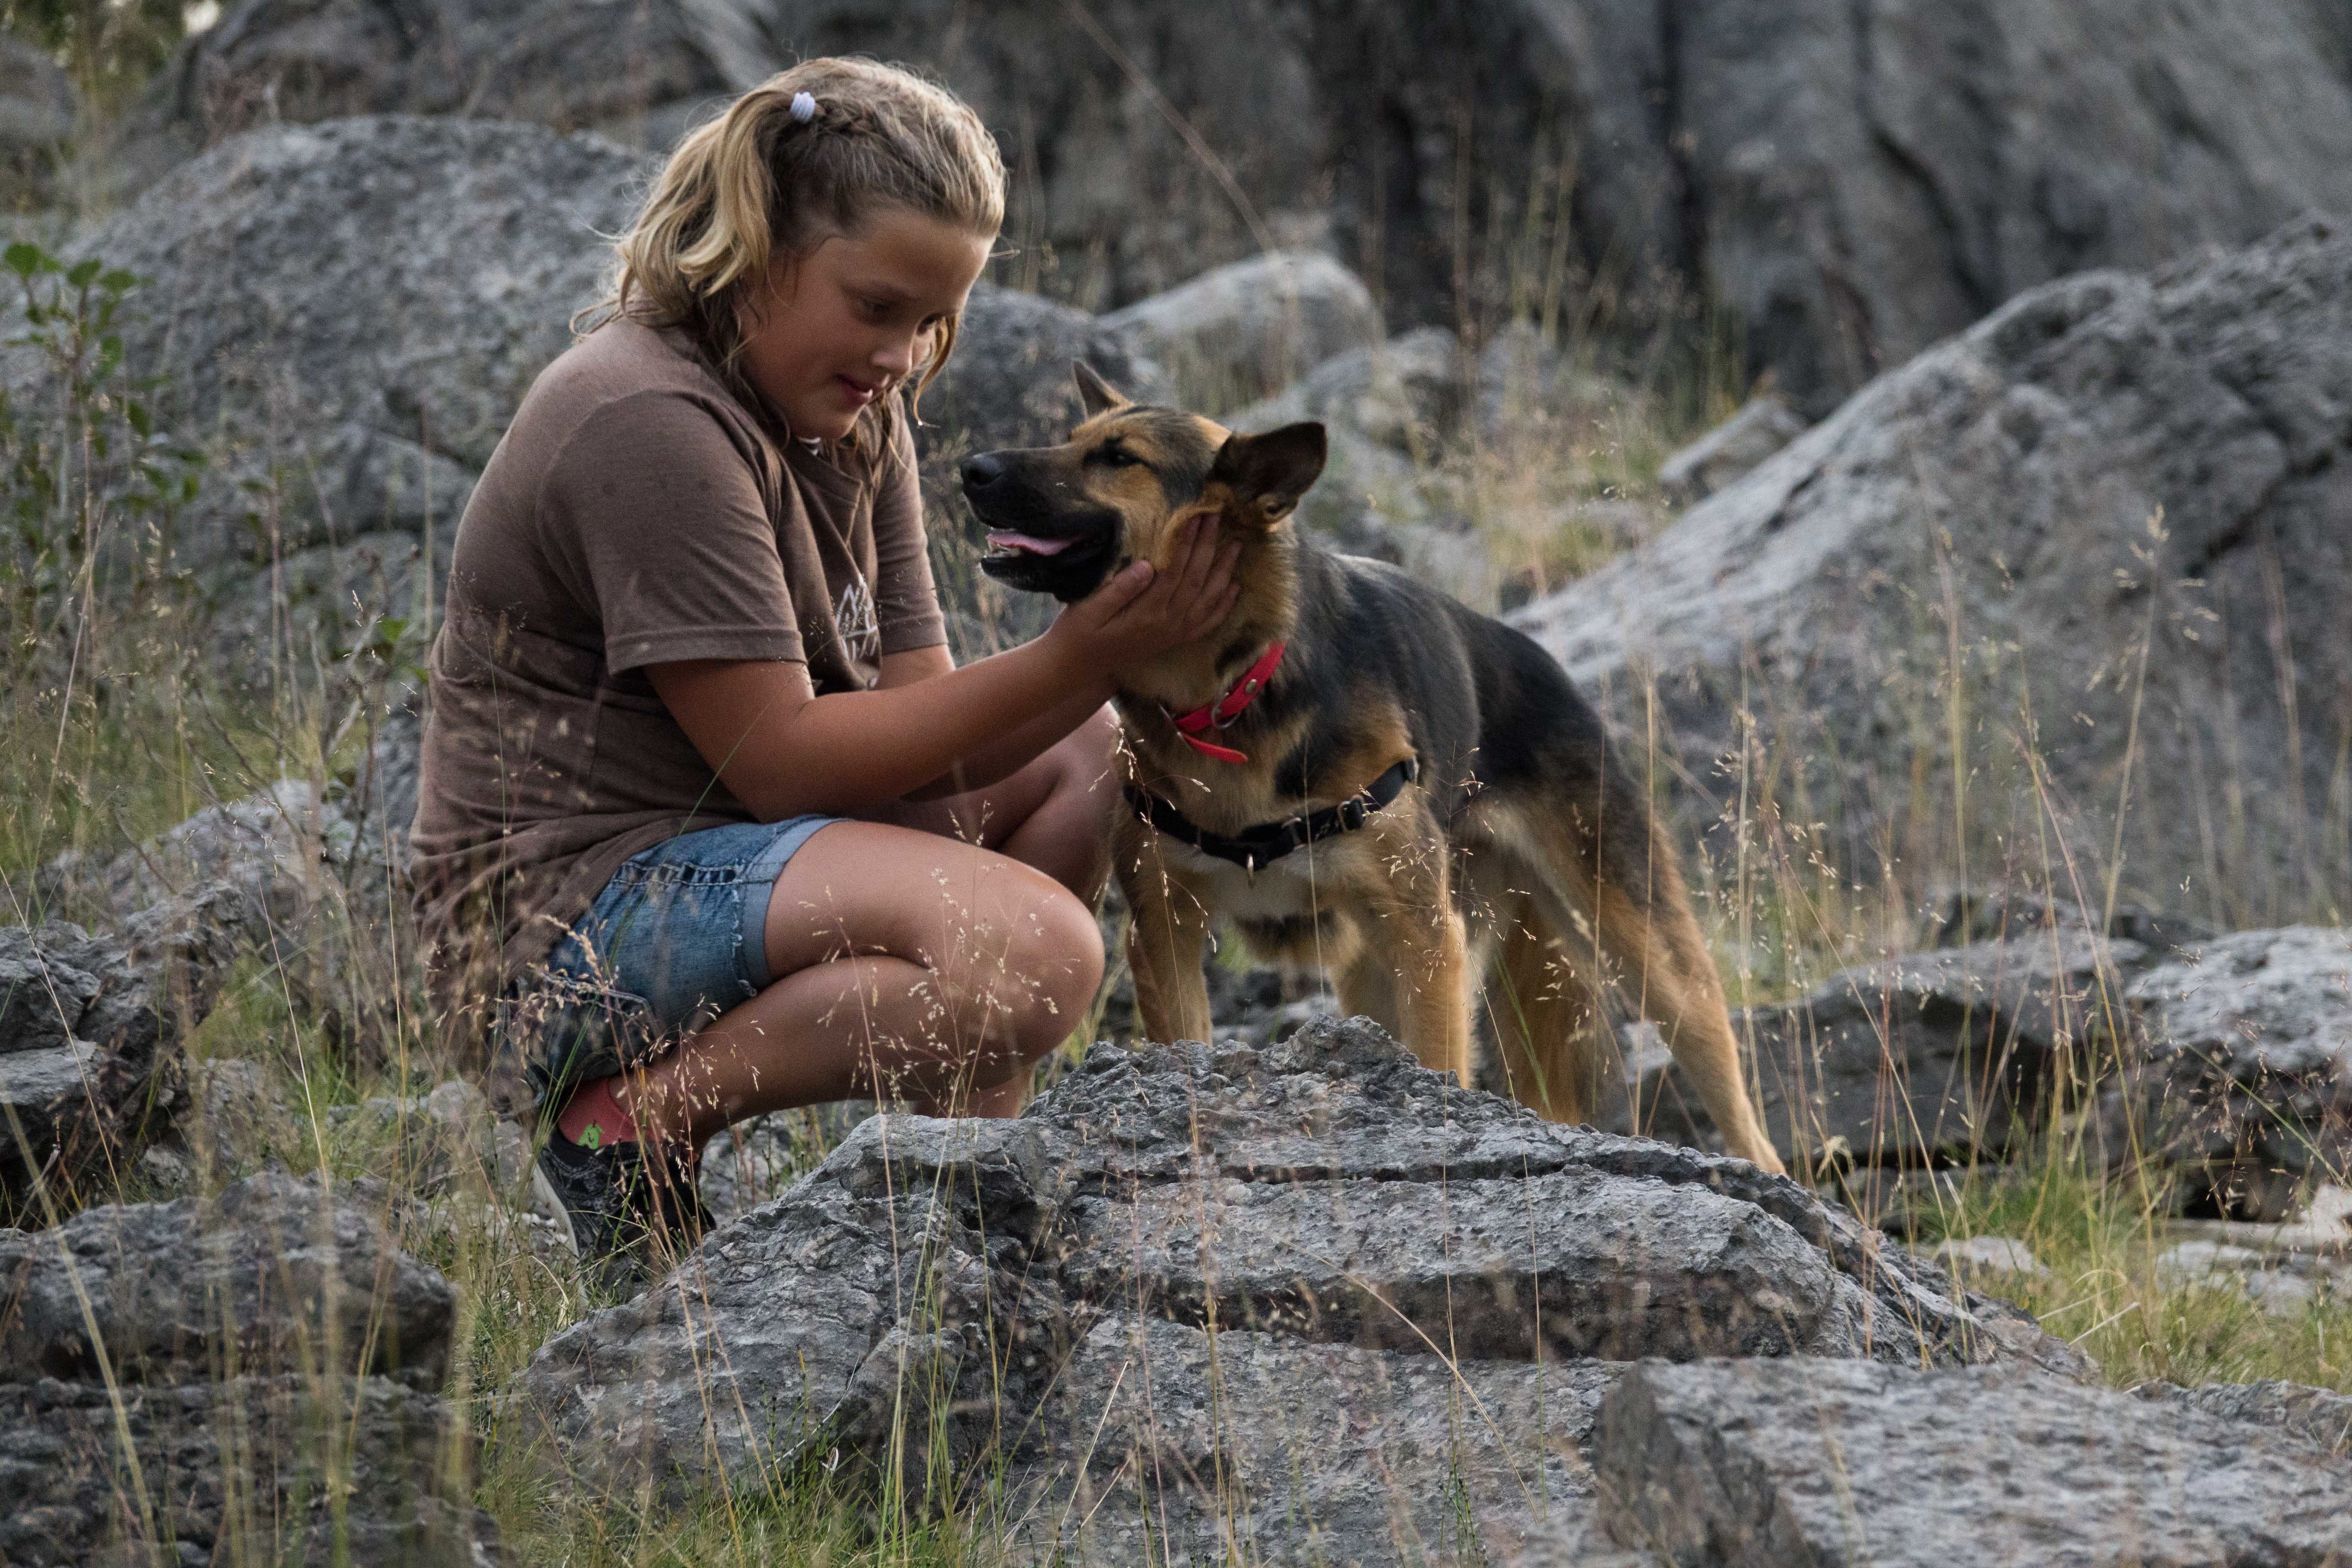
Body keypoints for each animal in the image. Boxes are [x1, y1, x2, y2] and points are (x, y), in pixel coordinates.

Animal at [955, 371, 1778, 1175]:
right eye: (1072, 440)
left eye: (1118, 458)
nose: (971, 468)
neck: (1229, 694)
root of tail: (1540, 658)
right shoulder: (1166, 932)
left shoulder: (1429, 940)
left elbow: (1441, 1066)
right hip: (1374, 971)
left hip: (1646, 954)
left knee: (1736, 1102)